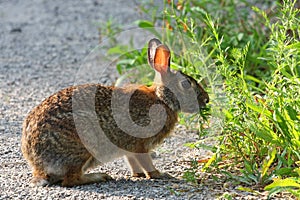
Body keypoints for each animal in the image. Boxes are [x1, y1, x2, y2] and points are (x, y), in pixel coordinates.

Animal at [21, 38, 209, 188]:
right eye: (186, 84)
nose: (206, 99)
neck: (162, 99)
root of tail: (37, 163)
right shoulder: (140, 143)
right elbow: (146, 161)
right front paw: (159, 174)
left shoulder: (129, 148)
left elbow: (132, 161)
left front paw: (137, 175)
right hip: (83, 143)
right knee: (71, 180)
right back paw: (100, 176)